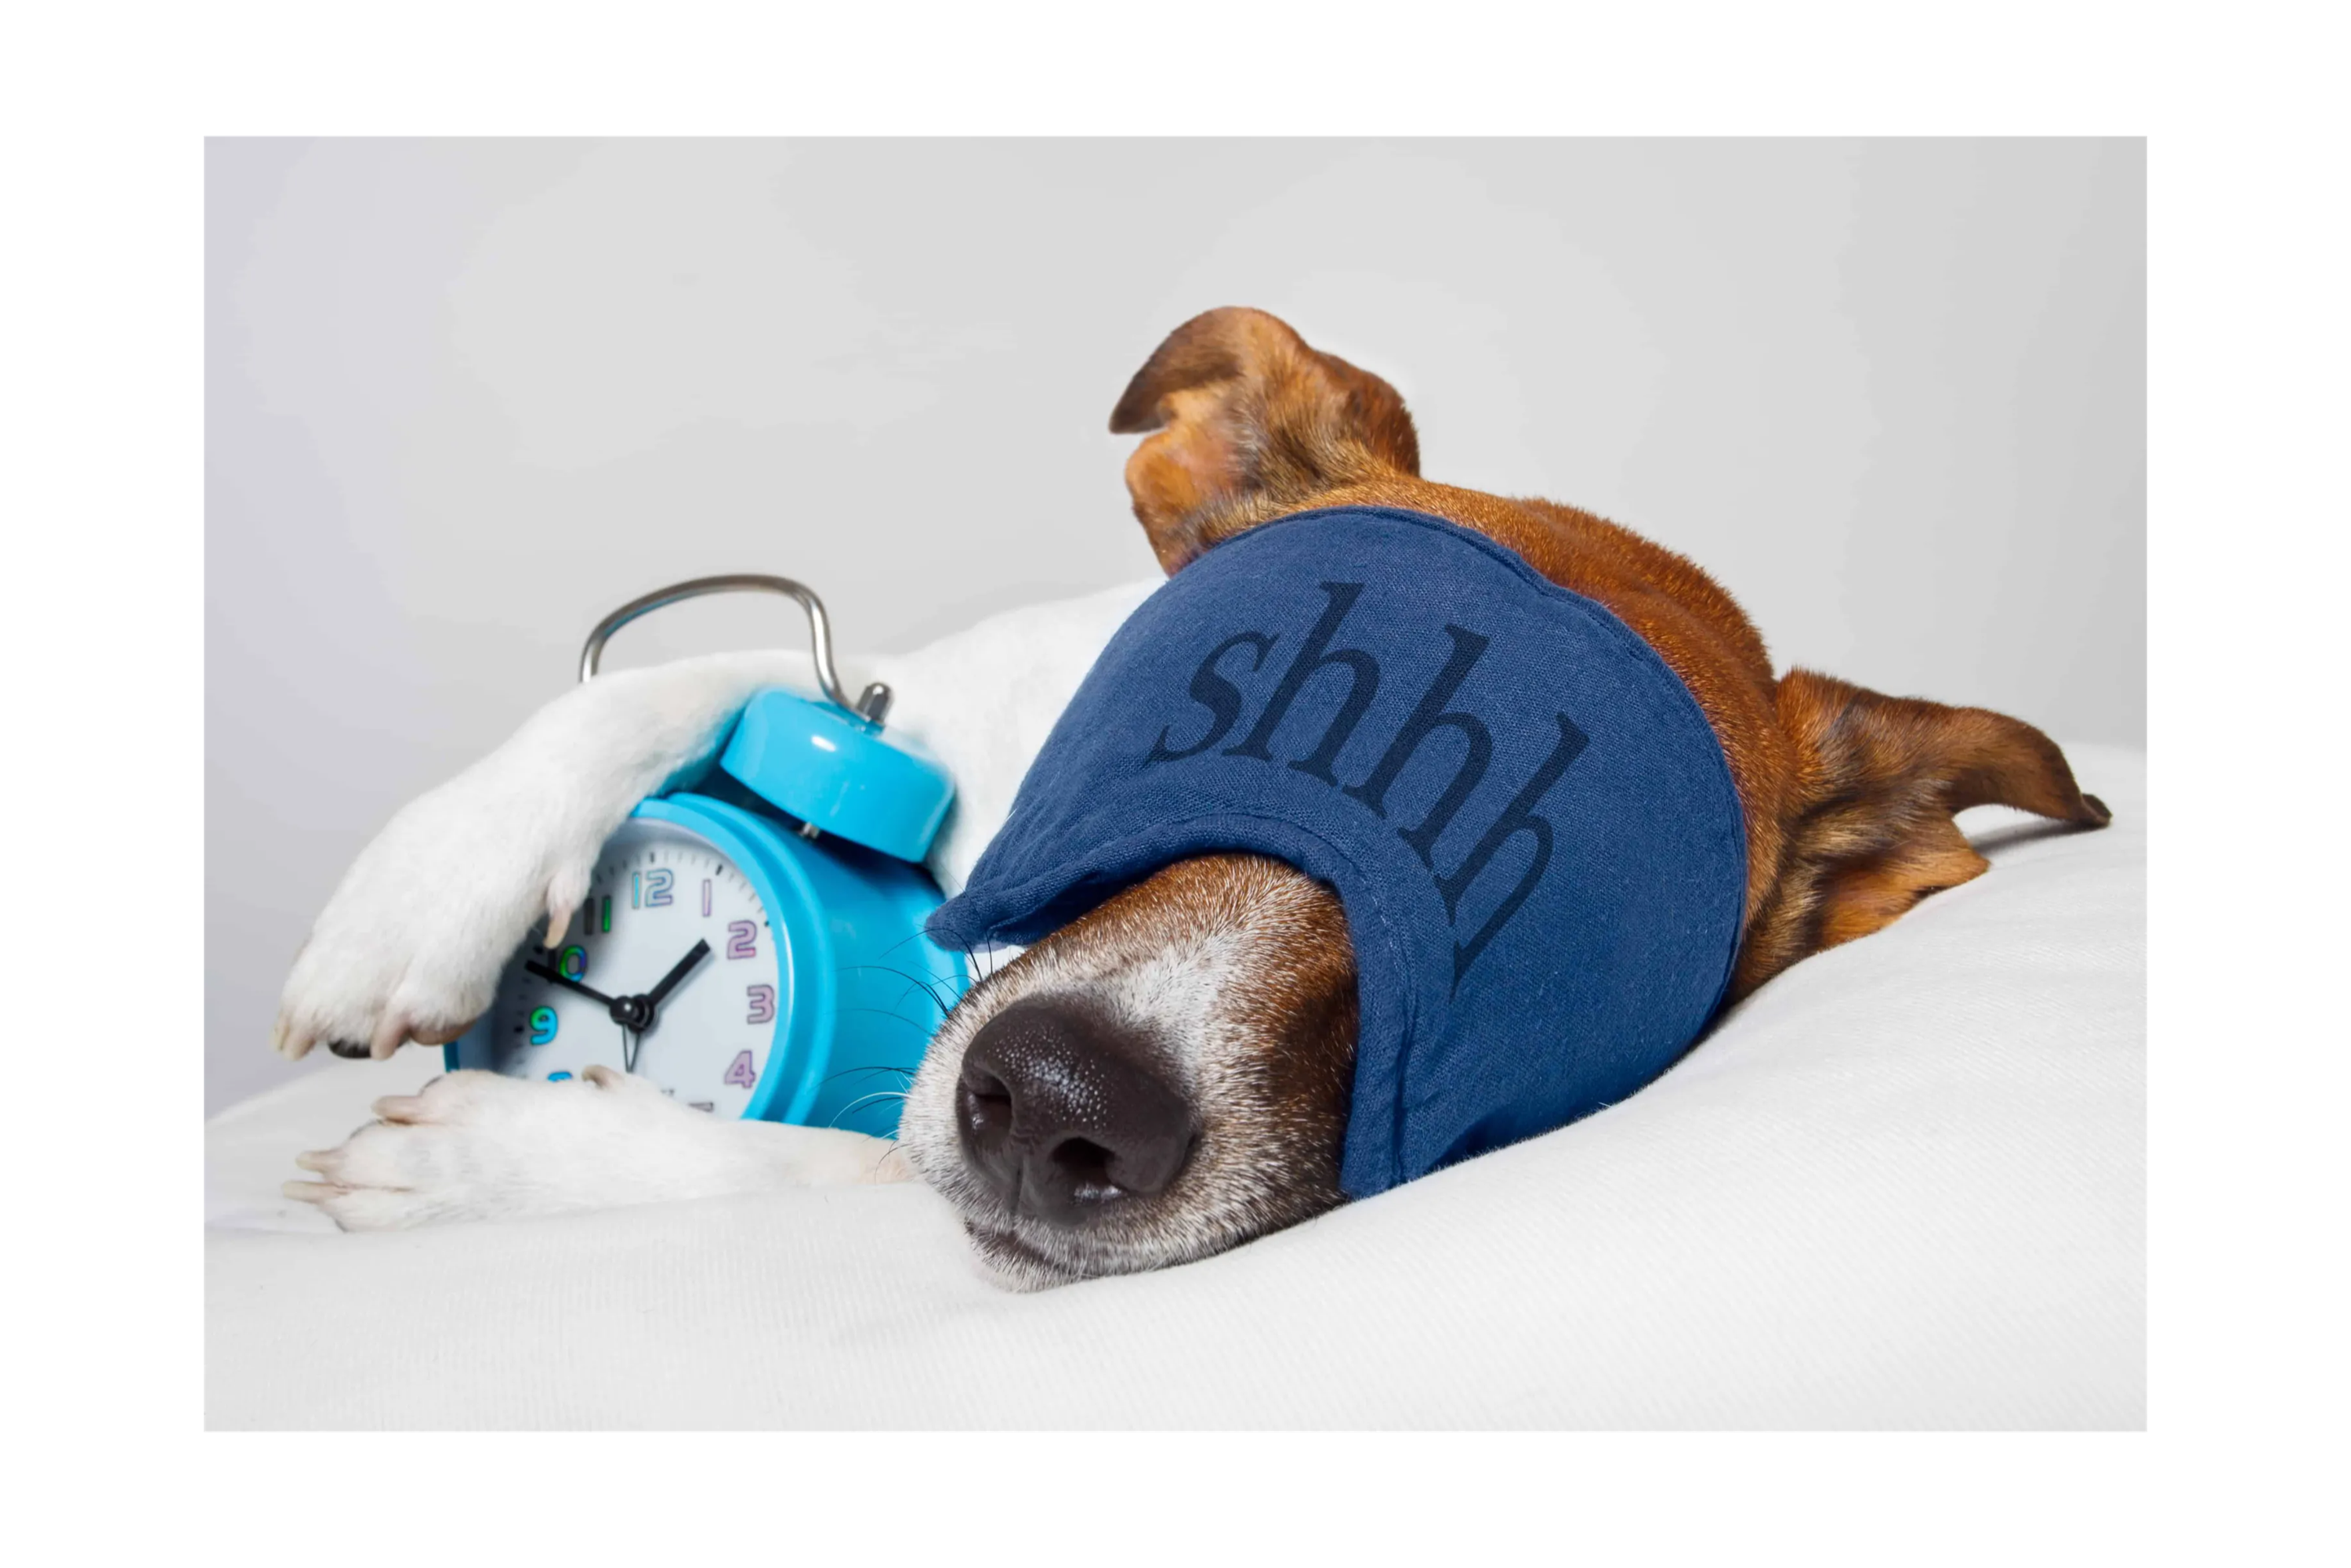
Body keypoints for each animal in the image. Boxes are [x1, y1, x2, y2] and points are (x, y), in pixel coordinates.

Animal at [280, 306, 2116, 1288]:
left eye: (1550, 929)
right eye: (1181, 714)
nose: (1060, 1092)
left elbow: (828, 1169)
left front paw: (509, 1163)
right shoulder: (935, 691)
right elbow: (707, 670)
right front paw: (413, 902)